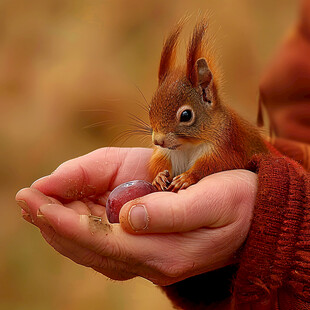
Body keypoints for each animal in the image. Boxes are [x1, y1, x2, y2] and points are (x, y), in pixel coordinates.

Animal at [149, 19, 268, 191]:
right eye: (150, 109)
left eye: (186, 115)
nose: (158, 141)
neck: (188, 146)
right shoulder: (165, 153)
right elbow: (158, 162)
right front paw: (158, 177)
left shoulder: (225, 148)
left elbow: (213, 166)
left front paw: (186, 177)